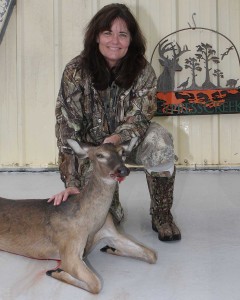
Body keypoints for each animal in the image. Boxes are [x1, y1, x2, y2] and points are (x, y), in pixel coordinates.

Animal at [0, 139, 158, 294]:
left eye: (122, 152)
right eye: (100, 155)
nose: (123, 170)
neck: (91, 221)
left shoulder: (112, 232)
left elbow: (151, 255)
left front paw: (110, 248)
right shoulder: (68, 248)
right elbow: (96, 284)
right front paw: (55, 271)